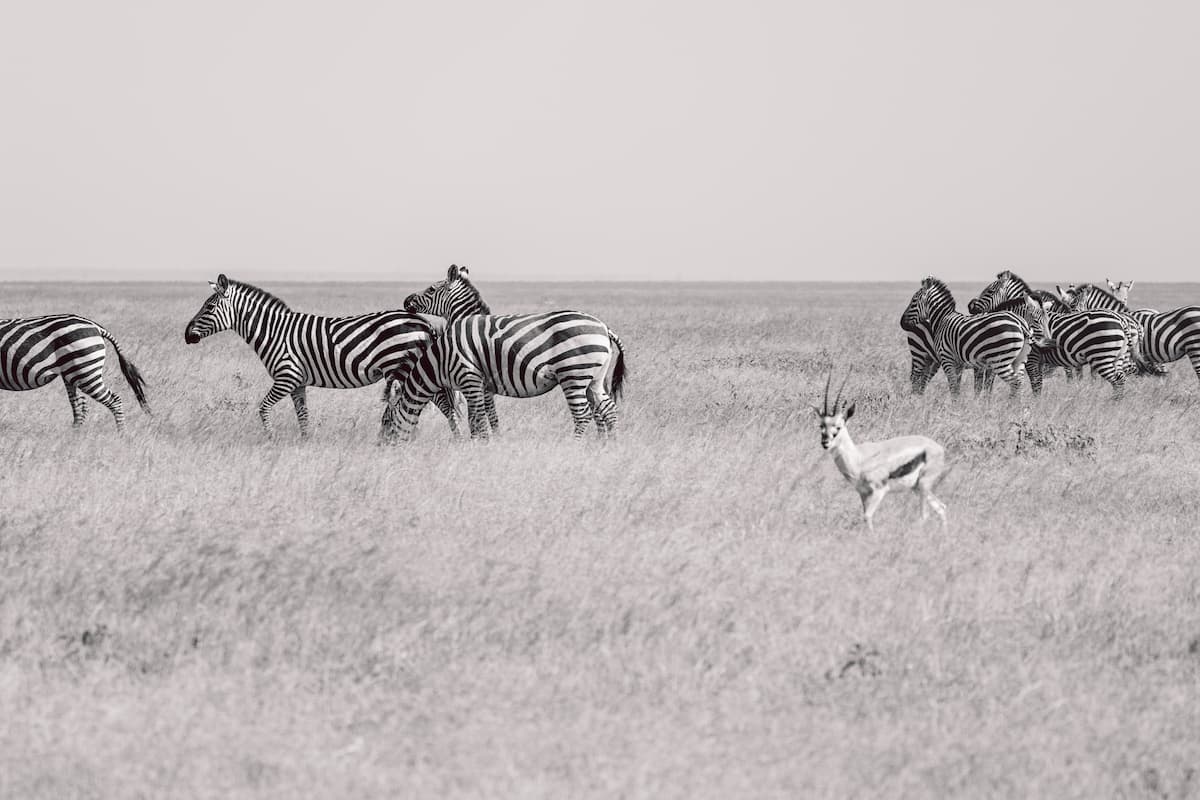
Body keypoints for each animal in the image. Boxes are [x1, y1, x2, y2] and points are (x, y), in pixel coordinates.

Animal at [0, 314, 148, 431]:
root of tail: (96, 327)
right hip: (72, 373)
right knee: (79, 405)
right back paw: (74, 436)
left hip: (86, 372)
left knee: (113, 400)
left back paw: (121, 434)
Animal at [186, 275, 458, 438]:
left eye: (209, 307)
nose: (187, 335)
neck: (273, 331)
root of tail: (423, 322)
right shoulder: (298, 382)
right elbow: (303, 416)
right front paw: (305, 442)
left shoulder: (286, 376)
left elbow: (263, 408)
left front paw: (271, 438)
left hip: (410, 369)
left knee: (443, 406)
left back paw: (454, 438)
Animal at [381, 309, 628, 441]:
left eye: (386, 422)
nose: (382, 449)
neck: (440, 360)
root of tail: (603, 327)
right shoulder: (482, 384)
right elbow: (485, 416)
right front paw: (483, 442)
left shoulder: (469, 377)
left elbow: (476, 417)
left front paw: (478, 447)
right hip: (594, 378)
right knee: (608, 408)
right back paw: (608, 446)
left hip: (574, 374)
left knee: (582, 414)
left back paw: (574, 446)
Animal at [902, 278, 1032, 398]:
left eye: (913, 300)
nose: (902, 323)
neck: (942, 319)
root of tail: (1020, 323)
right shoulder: (959, 364)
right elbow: (959, 388)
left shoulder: (947, 359)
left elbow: (955, 388)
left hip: (1000, 360)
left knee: (1015, 382)